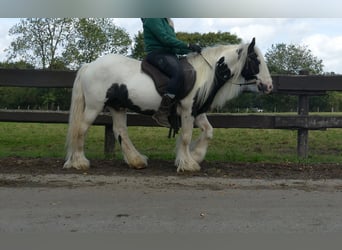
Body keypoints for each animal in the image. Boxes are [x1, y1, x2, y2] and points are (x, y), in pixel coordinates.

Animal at [64, 38, 272, 173]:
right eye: (255, 60)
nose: (269, 86)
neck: (206, 73)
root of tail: (89, 65)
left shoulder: (197, 112)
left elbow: (209, 131)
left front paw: (195, 155)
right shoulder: (187, 110)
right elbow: (186, 136)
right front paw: (188, 163)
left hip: (118, 106)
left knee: (120, 131)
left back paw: (136, 161)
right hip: (94, 106)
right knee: (81, 129)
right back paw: (79, 162)